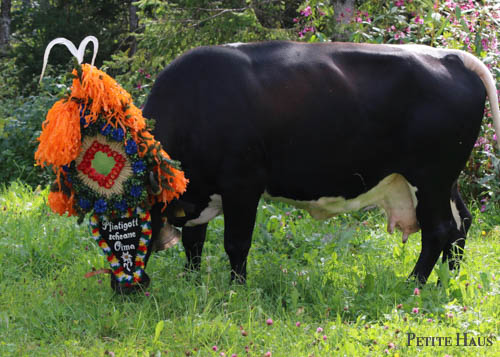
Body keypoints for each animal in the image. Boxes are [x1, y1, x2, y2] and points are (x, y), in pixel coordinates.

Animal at [142, 41, 500, 284]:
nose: (132, 290)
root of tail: (450, 56)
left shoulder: (242, 184)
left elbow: (236, 243)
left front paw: (235, 288)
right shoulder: (198, 192)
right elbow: (193, 242)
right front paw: (191, 282)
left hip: (429, 177)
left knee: (439, 229)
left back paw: (414, 284)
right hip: (443, 181)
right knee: (461, 222)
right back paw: (446, 280)